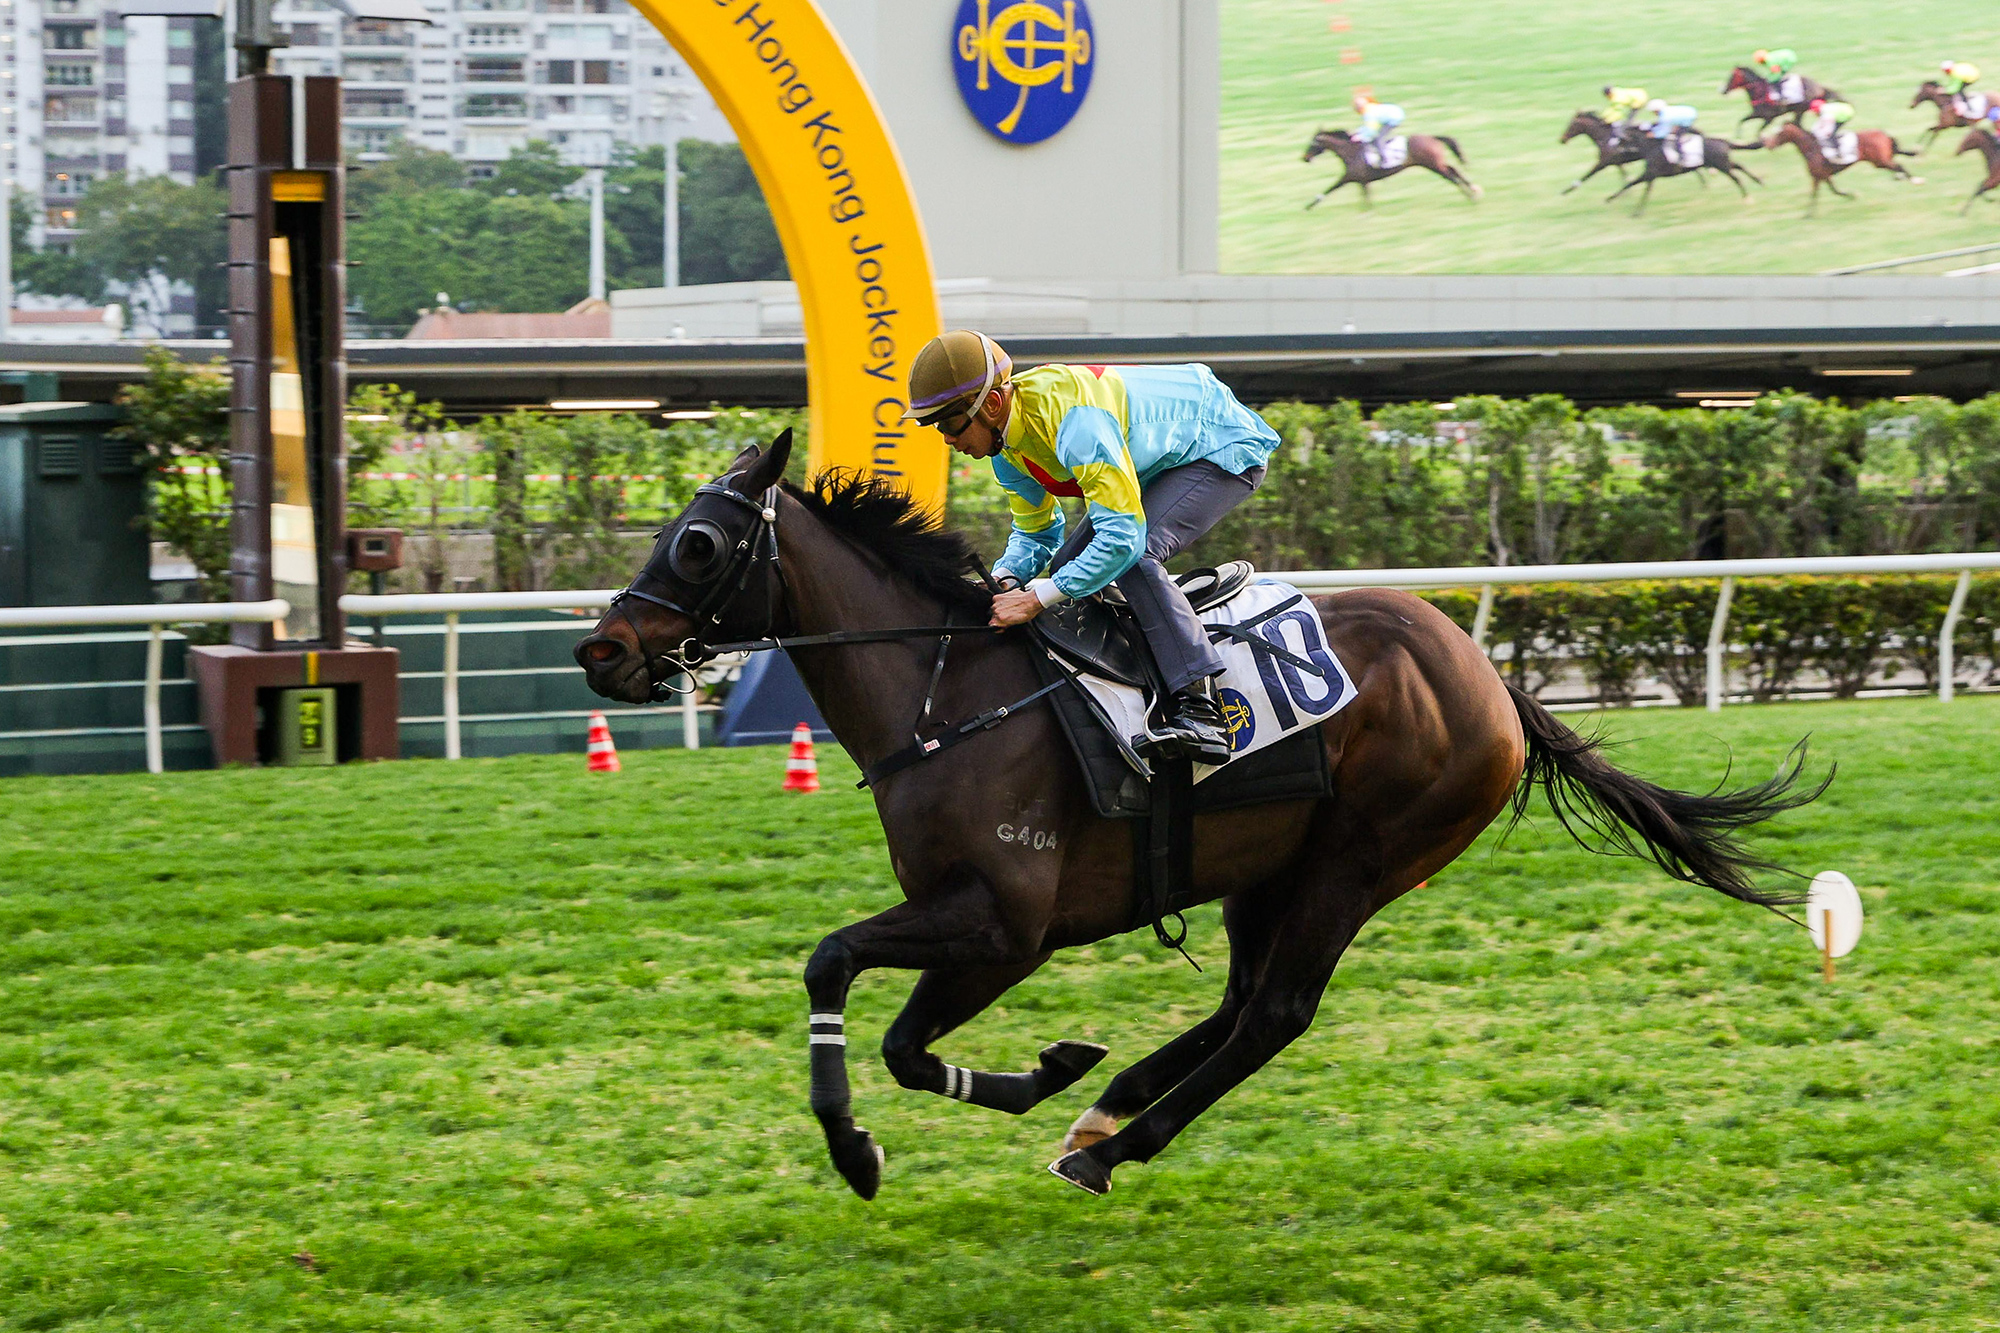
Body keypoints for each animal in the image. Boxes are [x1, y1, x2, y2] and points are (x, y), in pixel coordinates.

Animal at [576, 434, 1832, 1192]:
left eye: (695, 541)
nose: (600, 650)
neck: (948, 696)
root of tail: (1485, 674)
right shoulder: (968, 919)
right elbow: (890, 1032)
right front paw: (1056, 1069)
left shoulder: (1004, 925)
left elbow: (845, 981)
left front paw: (861, 1147)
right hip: (1259, 867)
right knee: (1237, 1003)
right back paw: (1108, 1107)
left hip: (1359, 861)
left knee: (1274, 1012)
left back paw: (1118, 1143)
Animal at [1304, 126, 1480, 206]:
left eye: (1312, 144)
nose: (1304, 158)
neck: (1351, 152)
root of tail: (1433, 137)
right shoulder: (1356, 179)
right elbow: (1333, 189)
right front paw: (1309, 206)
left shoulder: (1353, 178)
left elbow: (1333, 188)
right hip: (1435, 163)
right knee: (1453, 170)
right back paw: (1474, 190)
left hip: (1432, 164)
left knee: (1452, 176)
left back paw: (1471, 196)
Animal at [1600, 130, 1760, 215]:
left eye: (1619, 137)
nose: (1610, 148)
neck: (1651, 146)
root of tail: (1724, 141)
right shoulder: (1649, 174)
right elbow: (1631, 184)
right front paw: (1609, 198)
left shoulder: (1651, 174)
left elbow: (1642, 189)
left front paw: (1637, 212)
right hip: (1723, 163)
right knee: (1739, 166)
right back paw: (1759, 181)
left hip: (1722, 166)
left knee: (1737, 178)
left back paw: (1747, 198)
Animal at [1768, 120, 1920, 211]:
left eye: (1779, 133)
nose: (1769, 144)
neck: (1812, 148)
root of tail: (1884, 134)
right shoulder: (1821, 176)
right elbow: (1830, 191)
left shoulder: (1819, 175)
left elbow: (1821, 192)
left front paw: (1808, 214)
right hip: (1882, 160)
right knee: (1897, 165)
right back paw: (1901, 177)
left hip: (1880, 161)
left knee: (1898, 166)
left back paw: (1915, 180)